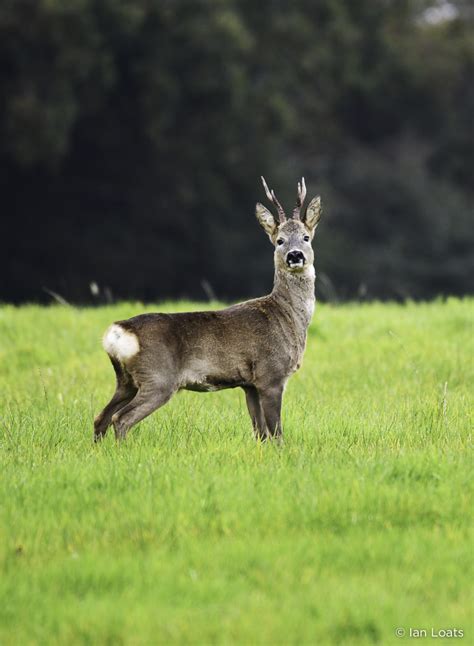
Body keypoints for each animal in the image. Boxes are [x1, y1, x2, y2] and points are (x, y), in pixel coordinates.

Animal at [92, 177, 322, 442]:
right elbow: (276, 434)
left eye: (306, 237)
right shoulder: (270, 374)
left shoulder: (249, 384)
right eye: (279, 240)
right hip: (158, 377)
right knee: (121, 419)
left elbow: (260, 433)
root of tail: (118, 332)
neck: (287, 317)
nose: (295, 256)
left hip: (126, 381)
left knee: (101, 417)